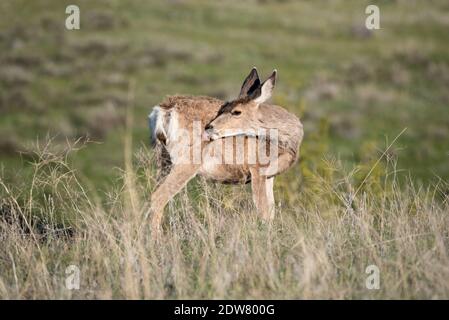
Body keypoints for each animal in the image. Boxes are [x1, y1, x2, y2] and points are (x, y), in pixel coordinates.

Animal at [149, 68, 302, 232]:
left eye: (236, 111)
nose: (209, 127)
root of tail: (165, 110)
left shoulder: (269, 175)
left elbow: (271, 211)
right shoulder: (258, 167)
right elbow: (264, 213)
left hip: (163, 160)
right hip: (187, 161)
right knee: (158, 198)